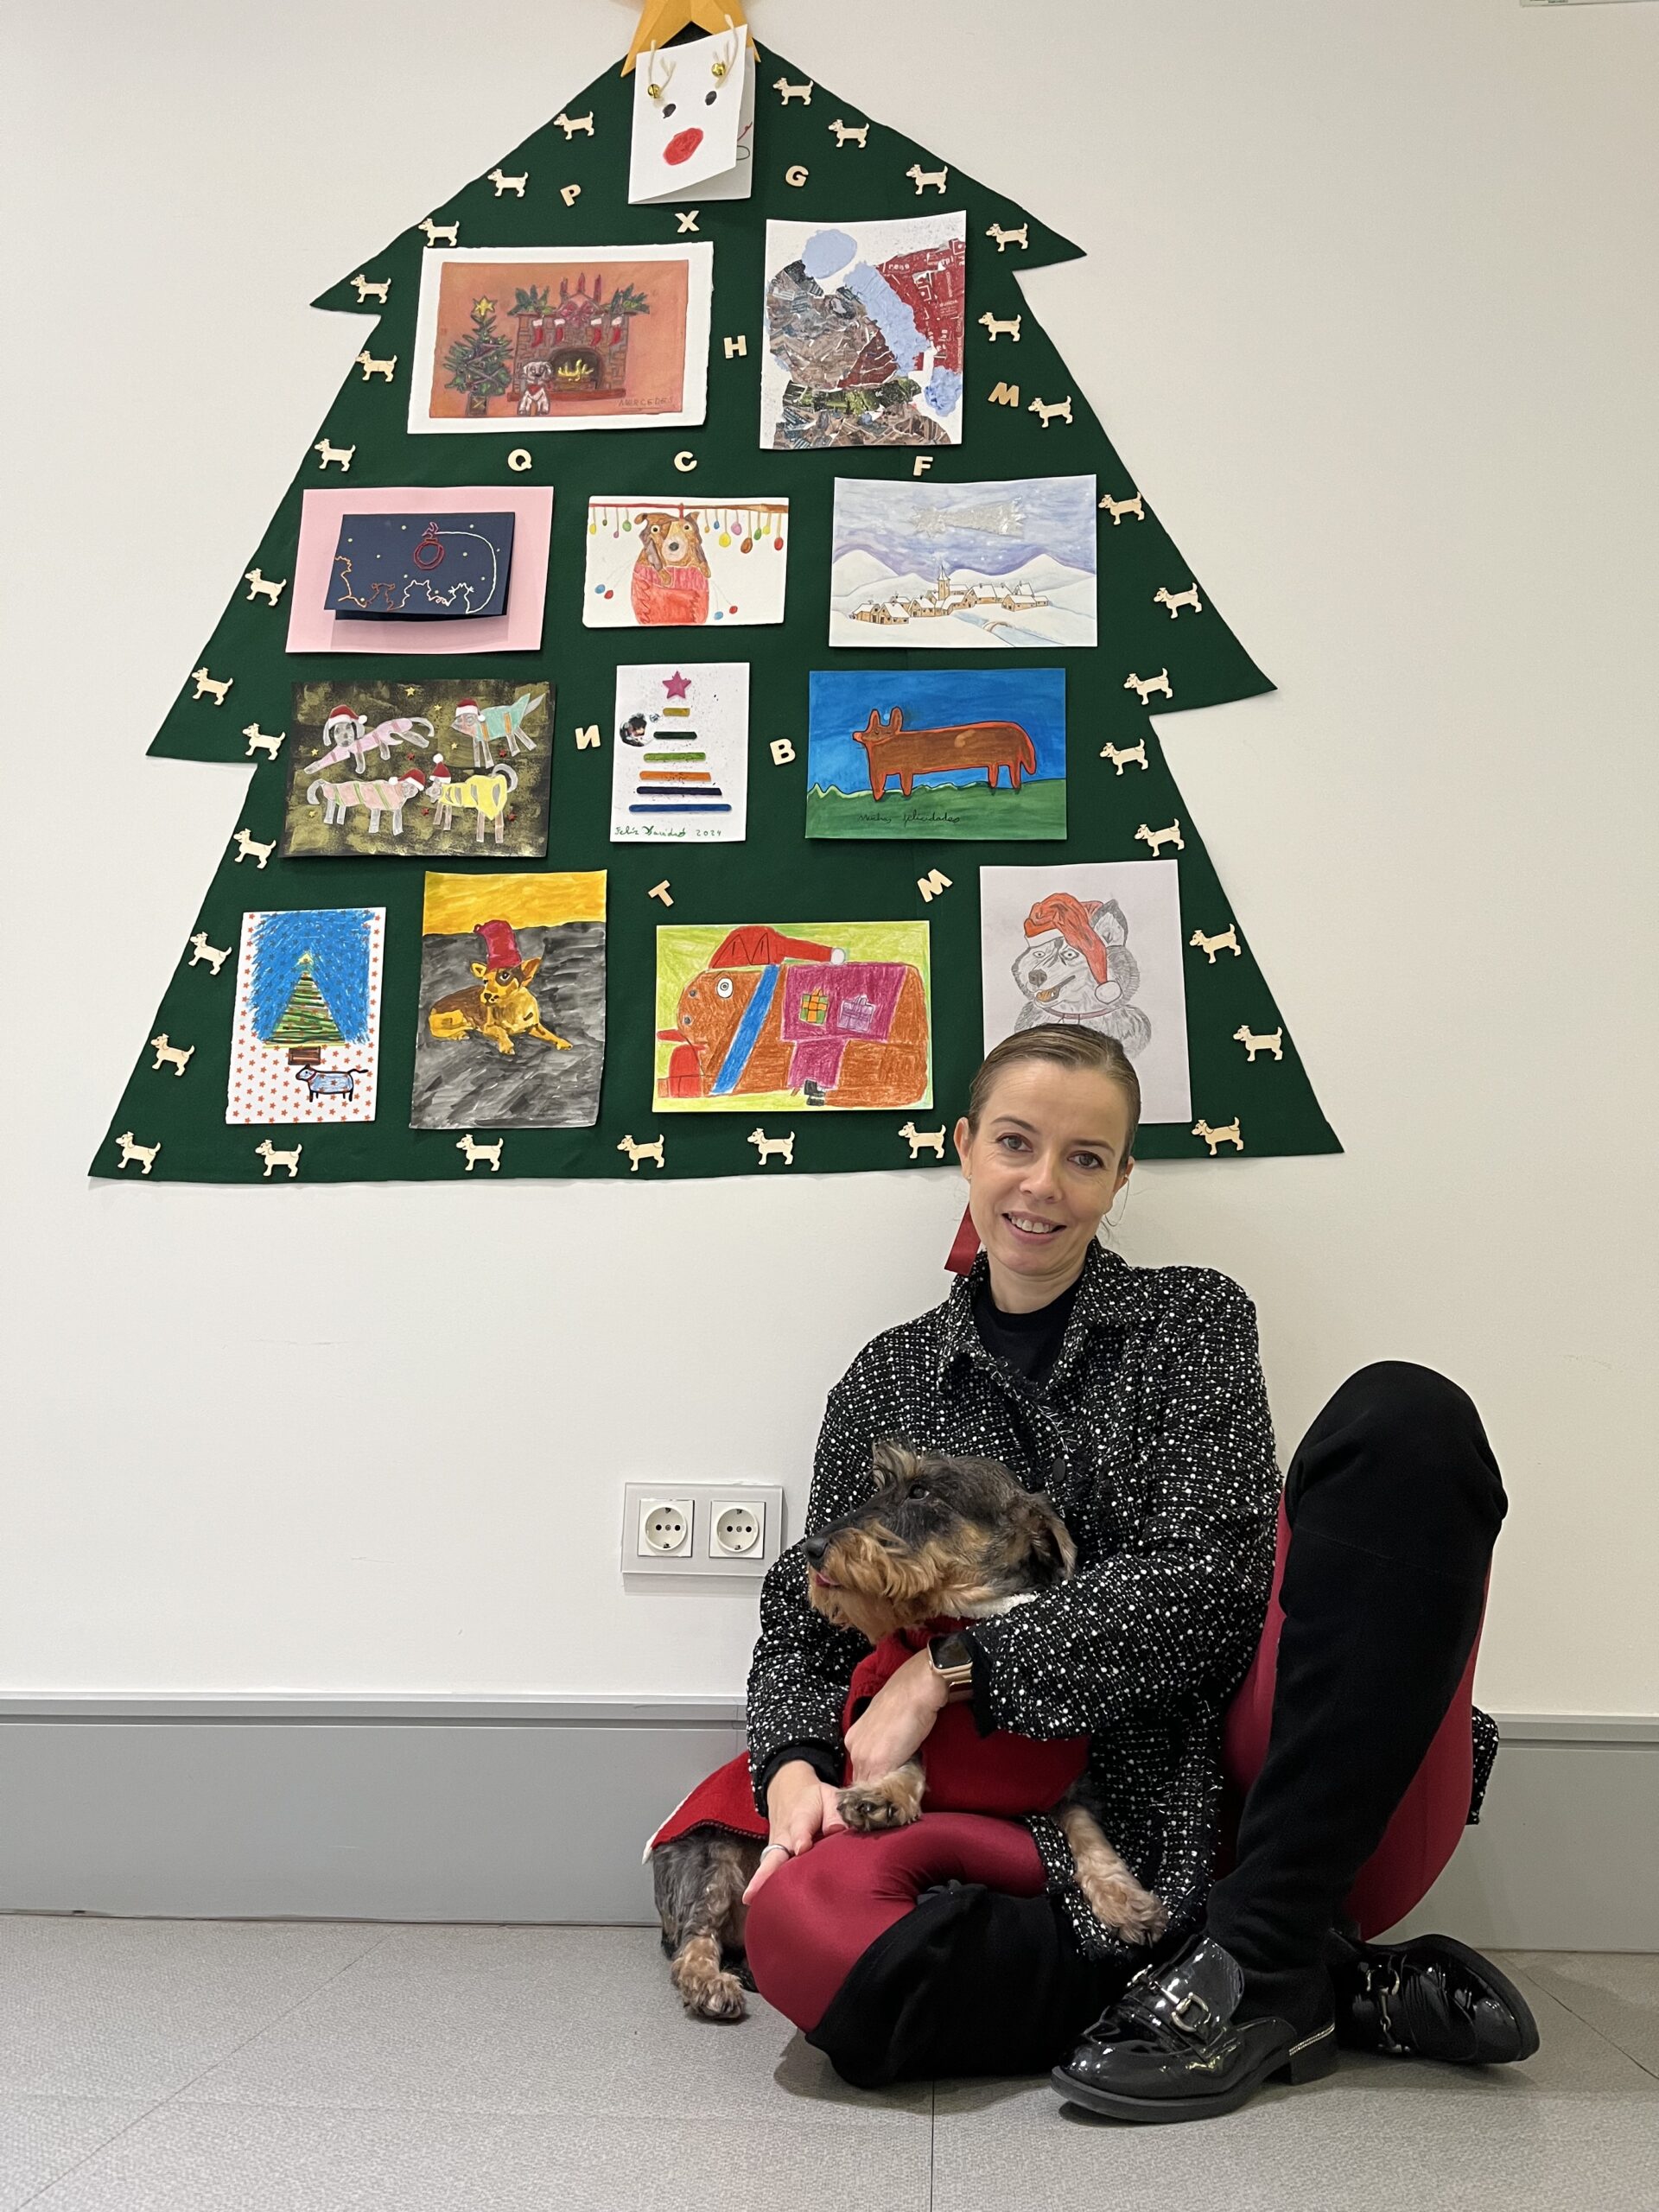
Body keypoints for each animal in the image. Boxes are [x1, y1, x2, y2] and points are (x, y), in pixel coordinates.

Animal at [649, 1442, 1166, 2022]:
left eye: (920, 1491)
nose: (813, 1548)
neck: (963, 1619)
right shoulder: (874, 1720)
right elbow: (907, 1757)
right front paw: (884, 1795)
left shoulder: (1067, 1783)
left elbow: (1086, 1831)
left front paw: (1124, 1898)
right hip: (711, 1861)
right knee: (695, 1937)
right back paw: (708, 1981)